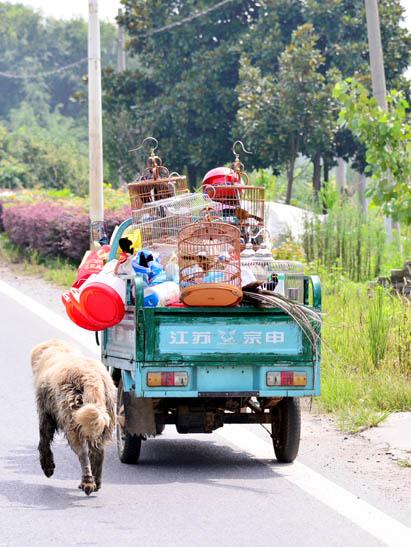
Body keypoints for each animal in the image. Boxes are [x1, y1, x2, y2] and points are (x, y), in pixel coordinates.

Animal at [30, 338, 116, 496]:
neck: (59, 350)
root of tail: (90, 377)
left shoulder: (45, 412)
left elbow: (44, 439)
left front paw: (47, 466)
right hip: (104, 416)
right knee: (98, 451)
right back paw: (96, 482)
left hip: (71, 419)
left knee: (83, 453)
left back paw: (87, 483)